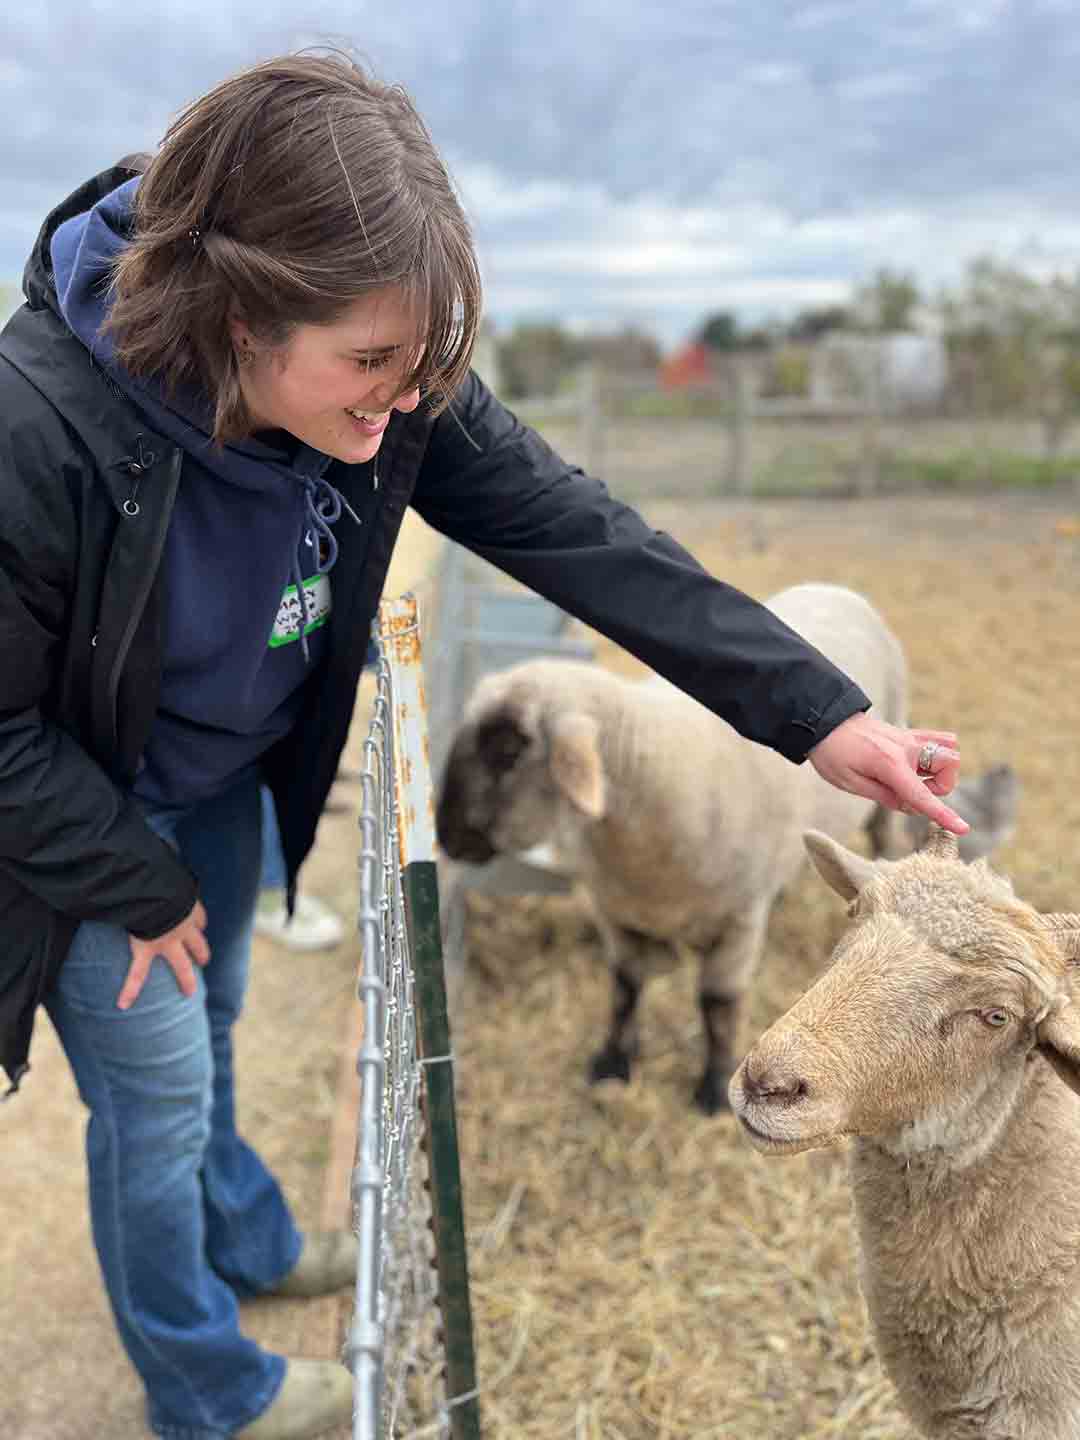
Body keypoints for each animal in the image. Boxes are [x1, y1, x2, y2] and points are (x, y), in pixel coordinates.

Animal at [434, 578, 910, 1105]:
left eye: (506, 750)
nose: (444, 834)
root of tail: (833, 587)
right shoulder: (617, 912)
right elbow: (625, 989)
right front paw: (613, 1063)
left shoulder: (738, 925)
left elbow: (717, 1004)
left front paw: (713, 1086)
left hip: (885, 792)